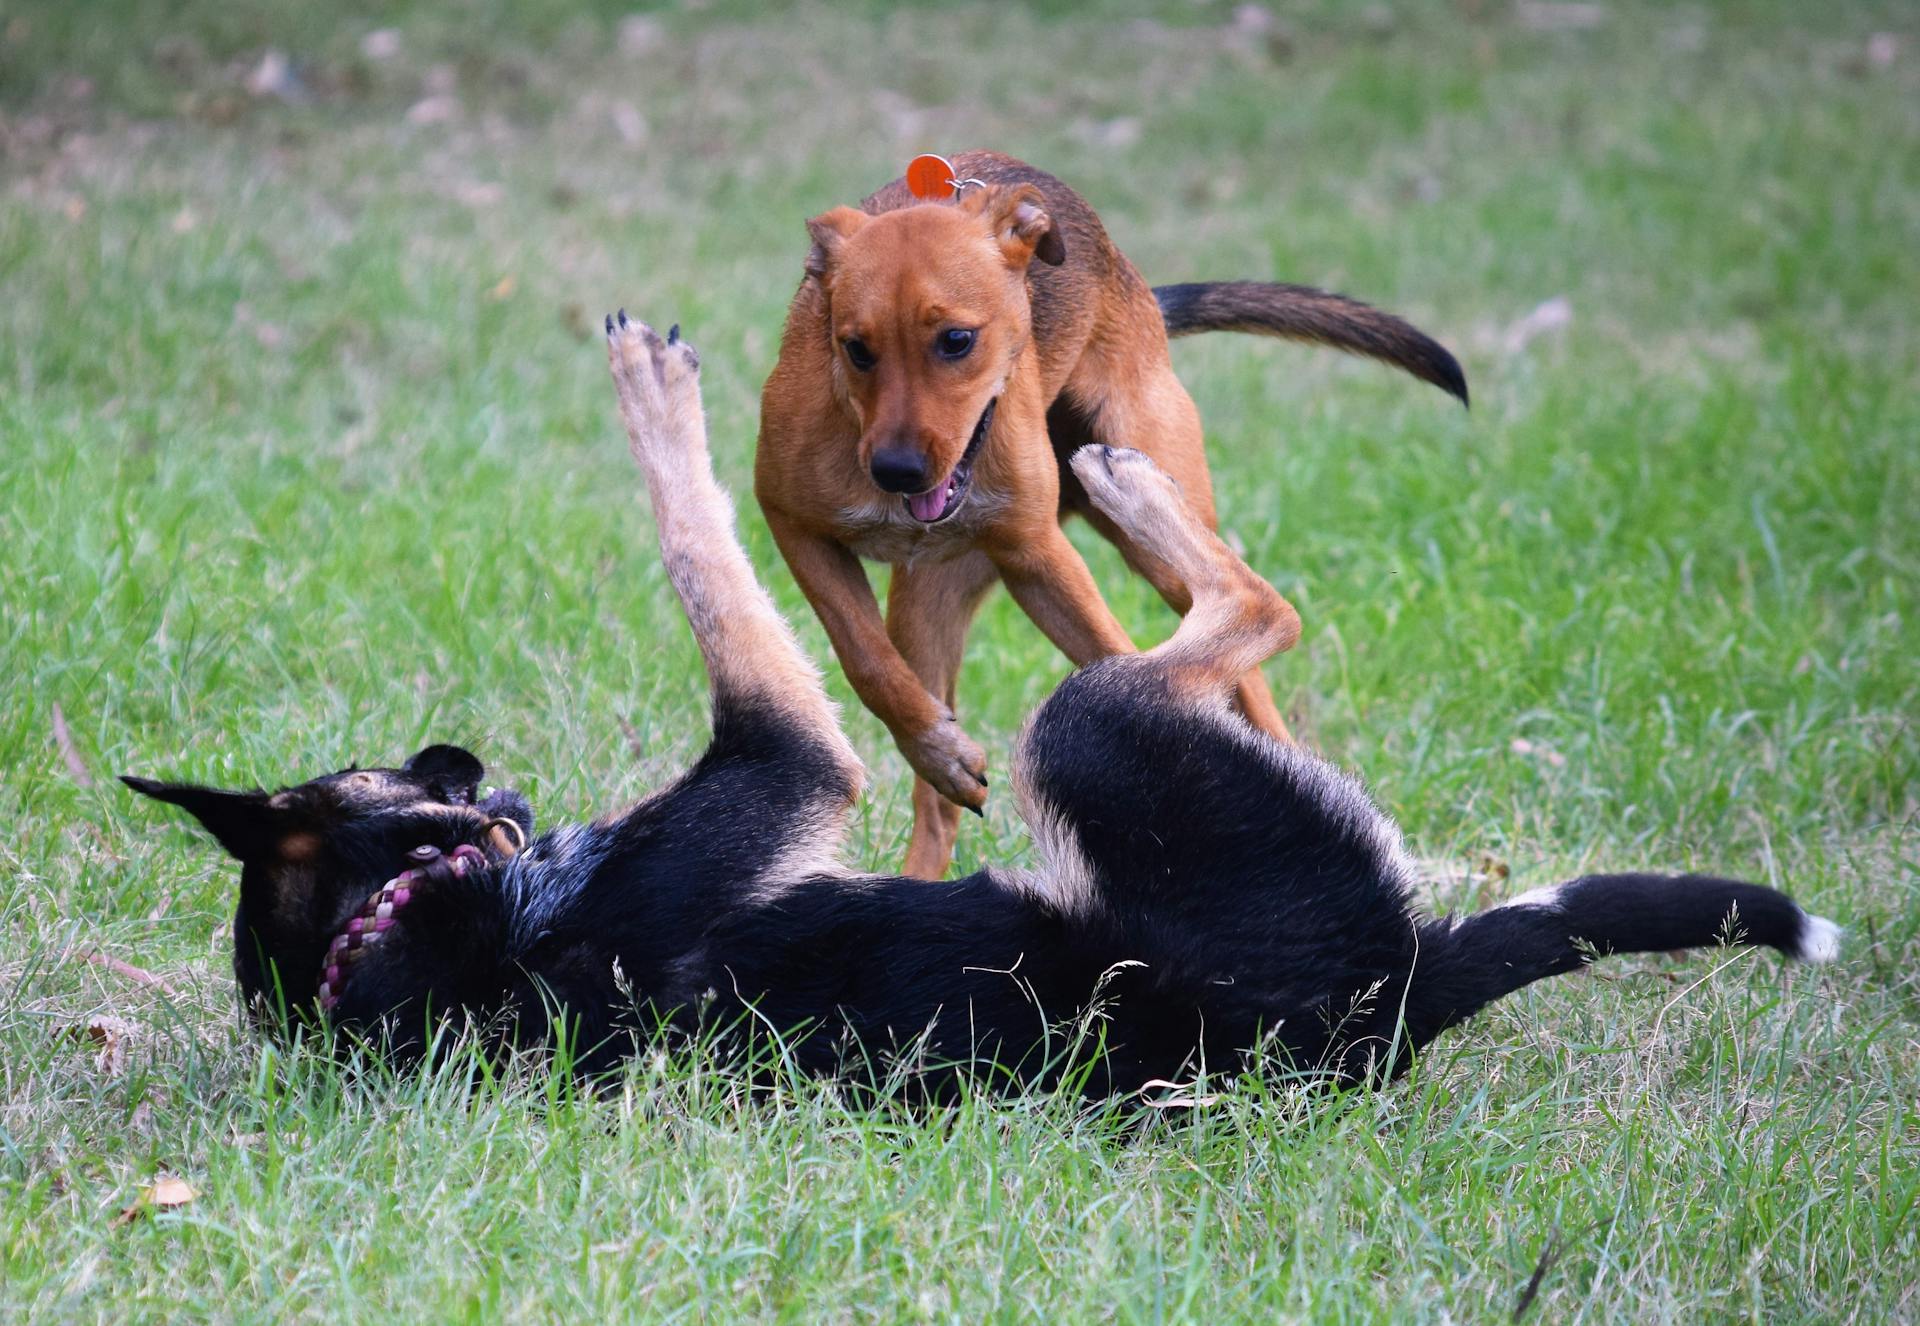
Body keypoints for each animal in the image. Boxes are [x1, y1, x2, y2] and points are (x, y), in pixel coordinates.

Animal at [127, 316, 1835, 1097]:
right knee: (1240, 611)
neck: (412, 933)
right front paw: (656, 403)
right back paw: (1133, 491)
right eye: (381, 773)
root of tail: (1396, 988)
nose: (475, 771)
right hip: (1093, 737)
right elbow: (702, 540)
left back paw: (1125, 484)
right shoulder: (792, 751)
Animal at [756, 152, 1459, 882]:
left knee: (1250, 664)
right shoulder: (793, 524)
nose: (895, 471)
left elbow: (1127, 667)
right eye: (854, 348)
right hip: (926, 604)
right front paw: (940, 750)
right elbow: (866, 660)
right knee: (939, 807)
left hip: (1156, 546)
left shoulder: (1041, 559)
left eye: (956, 340)